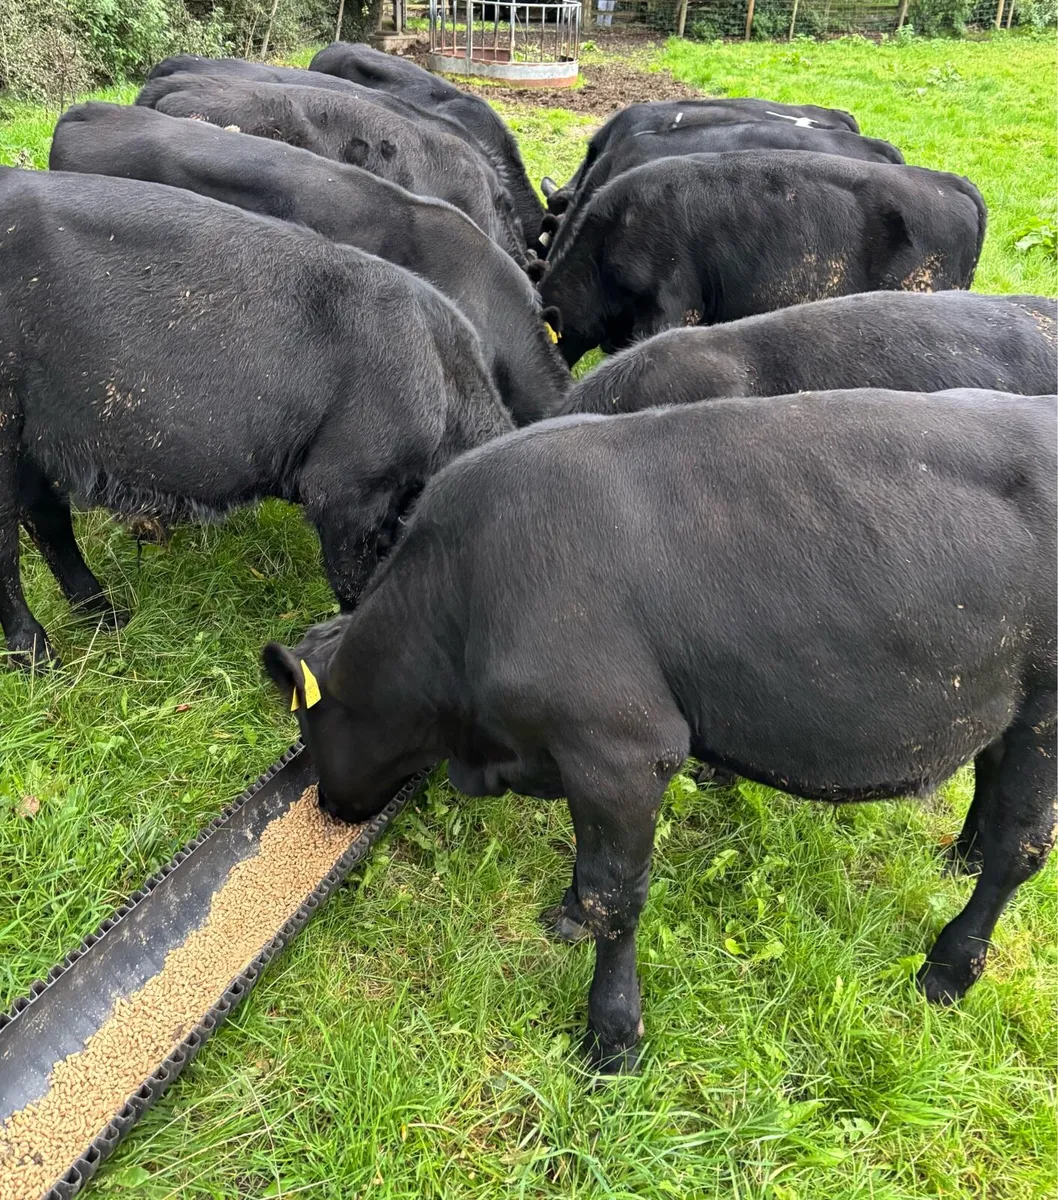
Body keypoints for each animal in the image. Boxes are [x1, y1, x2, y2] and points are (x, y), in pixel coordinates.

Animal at [263, 386, 1057, 1074]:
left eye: (308, 730)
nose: (328, 809)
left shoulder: (622, 749)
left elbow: (616, 897)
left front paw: (612, 1038)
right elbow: (592, 880)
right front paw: (570, 918)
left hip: (1047, 712)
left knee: (1021, 848)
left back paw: (949, 967)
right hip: (1005, 703)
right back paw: (961, 854)